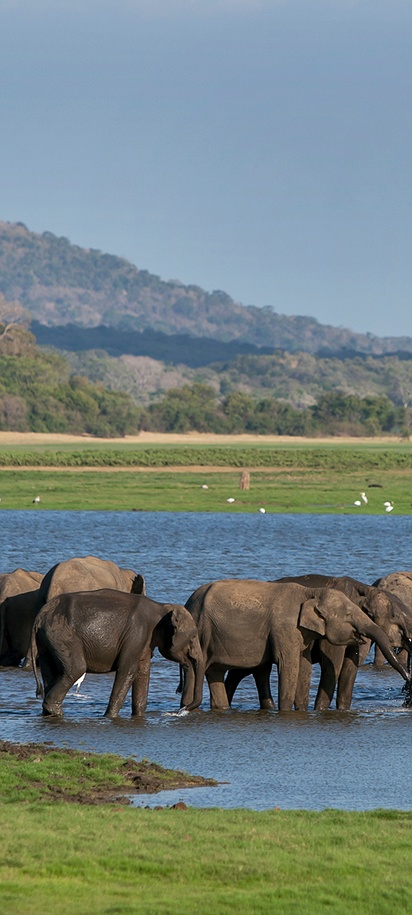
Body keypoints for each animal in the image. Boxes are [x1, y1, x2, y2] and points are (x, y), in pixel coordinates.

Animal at [31, 589, 204, 718]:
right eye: (193, 637)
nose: (182, 710)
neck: (162, 607)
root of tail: (40, 616)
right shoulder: (136, 635)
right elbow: (128, 670)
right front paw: (109, 717)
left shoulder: (144, 642)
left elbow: (143, 673)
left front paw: (138, 716)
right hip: (62, 636)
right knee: (76, 669)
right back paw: (57, 712)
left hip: (47, 641)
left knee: (50, 672)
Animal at [184, 579, 410, 711]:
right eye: (348, 614)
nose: (408, 682)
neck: (311, 593)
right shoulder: (286, 628)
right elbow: (295, 664)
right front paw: (292, 712)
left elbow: (307, 666)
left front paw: (302, 710)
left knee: (233, 671)